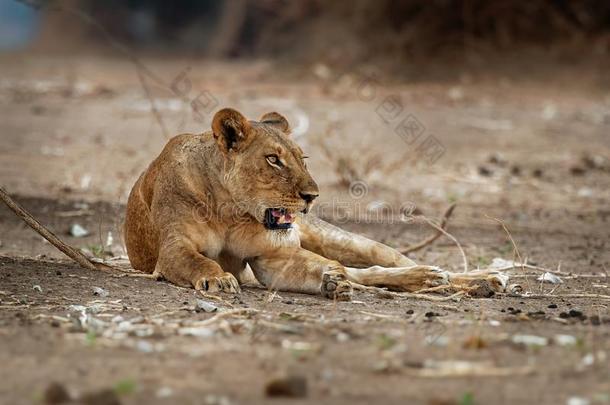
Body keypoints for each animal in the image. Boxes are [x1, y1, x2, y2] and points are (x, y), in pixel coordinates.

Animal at [123, 107, 504, 300]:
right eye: (273, 160)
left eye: (301, 158)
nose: (312, 197)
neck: (230, 209)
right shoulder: (173, 249)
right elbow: (198, 261)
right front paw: (217, 279)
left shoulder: (272, 255)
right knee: (360, 273)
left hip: (343, 240)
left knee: (387, 262)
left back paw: (474, 279)